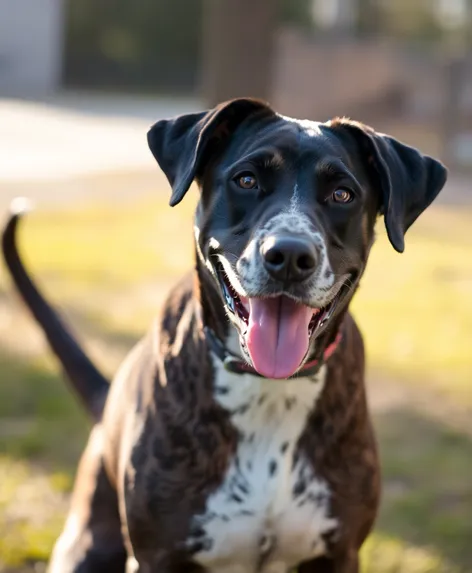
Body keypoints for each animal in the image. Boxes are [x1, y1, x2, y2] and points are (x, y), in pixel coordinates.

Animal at [1, 98, 448, 572]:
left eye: (342, 194)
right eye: (246, 180)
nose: (290, 255)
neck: (269, 390)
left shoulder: (339, 553)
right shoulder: (157, 554)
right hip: (88, 545)